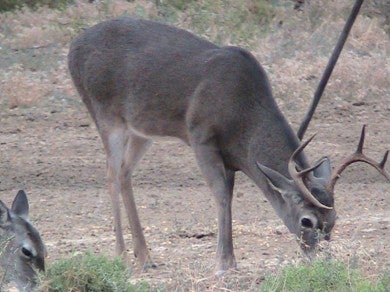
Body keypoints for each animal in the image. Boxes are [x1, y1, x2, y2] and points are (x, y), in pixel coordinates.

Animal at [68, 17, 388, 274]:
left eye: (333, 221)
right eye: (307, 221)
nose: (317, 259)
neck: (242, 112)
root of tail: (73, 47)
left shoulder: (233, 157)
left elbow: (230, 196)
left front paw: (230, 259)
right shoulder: (200, 135)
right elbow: (221, 194)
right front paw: (223, 264)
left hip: (141, 129)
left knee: (124, 173)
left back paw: (145, 257)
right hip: (105, 113)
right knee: (111, 175)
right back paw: (122, 256)